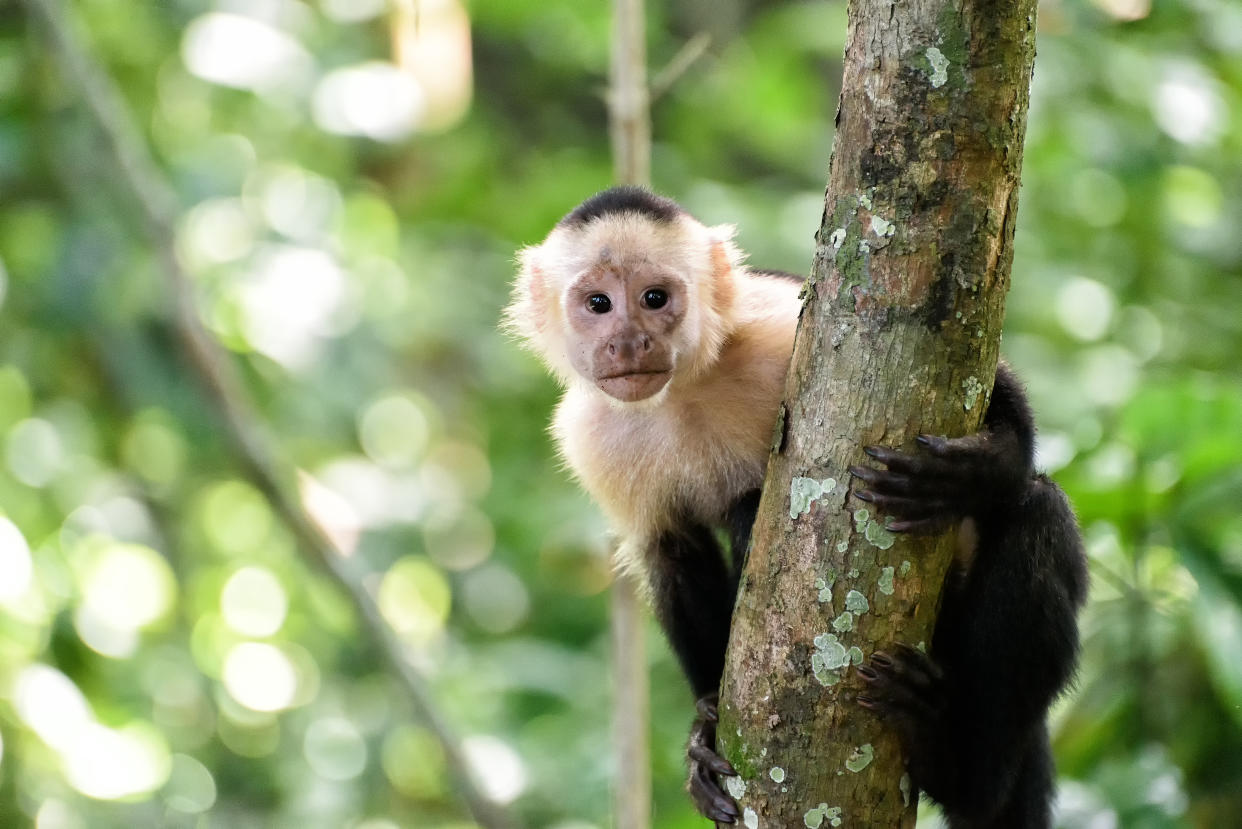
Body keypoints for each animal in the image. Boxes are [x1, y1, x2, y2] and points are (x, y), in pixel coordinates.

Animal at [504, 187, 1087, 829]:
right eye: (598, 303)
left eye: (654, 298)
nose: (630, 342)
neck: (682, 391)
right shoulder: (589, 437)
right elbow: (672, 553)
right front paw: (704, 729)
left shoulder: (776, 324)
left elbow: (993, 382)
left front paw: (979, 468)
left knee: (1037, 513)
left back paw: (962, 771)